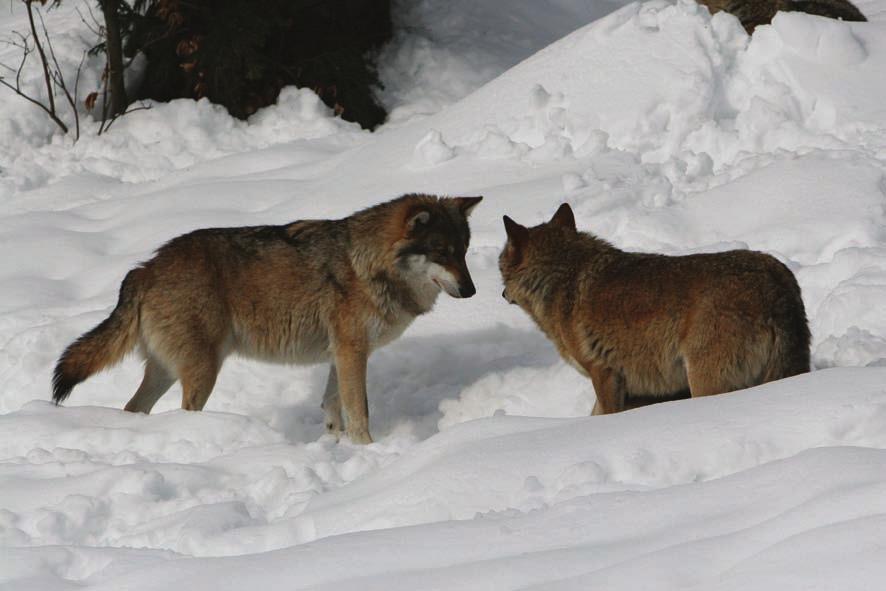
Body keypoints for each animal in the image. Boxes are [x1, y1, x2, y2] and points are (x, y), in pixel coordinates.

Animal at [53, 194, 486, 444]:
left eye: (463, 251)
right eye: (441, 252)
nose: (472, 291)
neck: (367, 264)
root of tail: (144, 269)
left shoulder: (340, 353)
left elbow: (333, 407)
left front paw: (336, 450)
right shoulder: (352, 351)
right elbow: (359, 412)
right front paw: (368, 453)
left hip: (166, 371)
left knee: (132, 409)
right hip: (202, 371)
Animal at [500, 204, 812, 416]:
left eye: (499, 266)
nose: (501, 294)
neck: (561, 277)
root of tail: (775, 285)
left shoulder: (605, 374)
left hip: (704, 382)